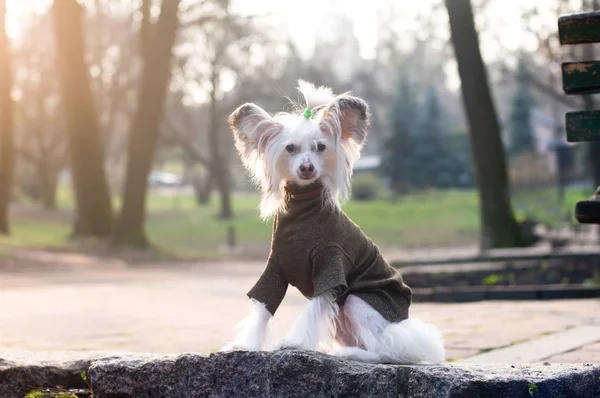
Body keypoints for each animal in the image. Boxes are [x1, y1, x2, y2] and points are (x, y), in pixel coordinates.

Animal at [221, 80, 446, 364]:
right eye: (290, 148)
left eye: (321, 147)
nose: (307, 168)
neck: (302, 209)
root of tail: (402, 323)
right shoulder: (275, 268)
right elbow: (263, 308)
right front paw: (245, 344)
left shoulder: (330, 266)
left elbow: (313, 309)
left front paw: (294, 343)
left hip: (357, 301)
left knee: (384, 350)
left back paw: (352, 354)